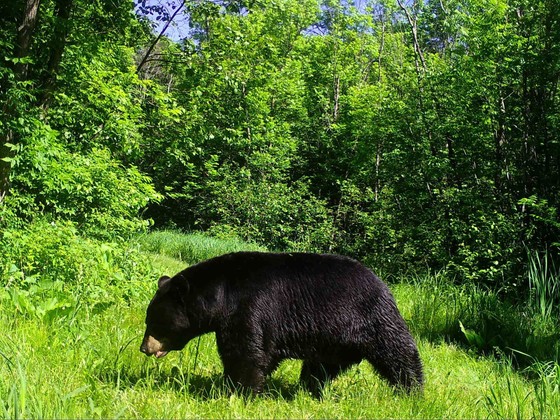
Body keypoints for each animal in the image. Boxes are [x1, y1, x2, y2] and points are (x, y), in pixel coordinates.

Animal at [141, 251, 424, 396]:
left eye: (153, 322)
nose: (144, 348)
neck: (222, 293)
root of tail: (384, 285)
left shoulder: (250, 308)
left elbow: (245, 352)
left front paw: (238, 391)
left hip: (373, 319)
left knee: (398, 353)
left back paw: (412, 392)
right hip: (334, 340)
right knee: (320, 367)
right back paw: (309, 390)